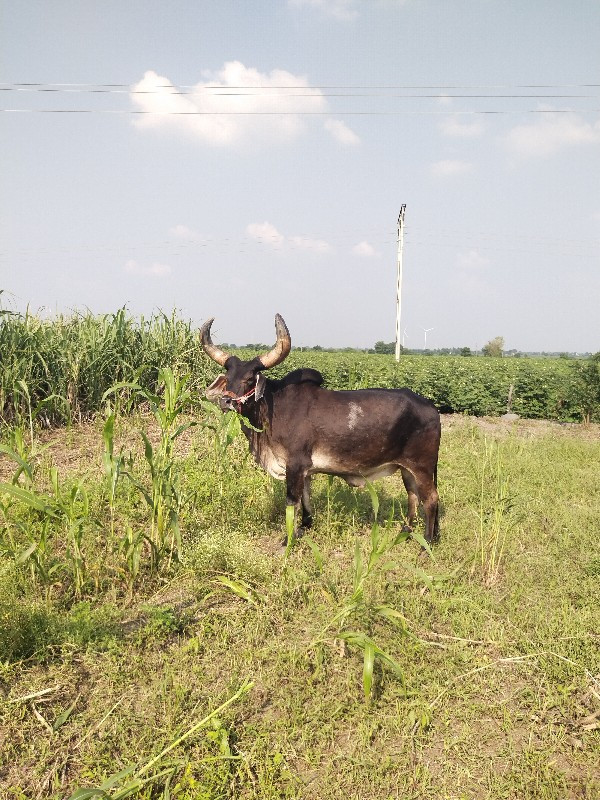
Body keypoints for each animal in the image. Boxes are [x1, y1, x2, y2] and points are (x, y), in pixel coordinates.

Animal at [202, 312, 440, 544]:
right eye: (228, 378)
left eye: (250, 379)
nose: (226, 401)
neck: (273, 405)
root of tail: (430, 407)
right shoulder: (305, 470)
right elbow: (306, 498)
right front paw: (305, 526)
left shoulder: (295, 464)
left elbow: (292, 501)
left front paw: (288, 538)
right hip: (407, 469)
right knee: (413, 496)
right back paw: (405, 532)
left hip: (422, 466)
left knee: (430, 499)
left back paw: (427, 541)